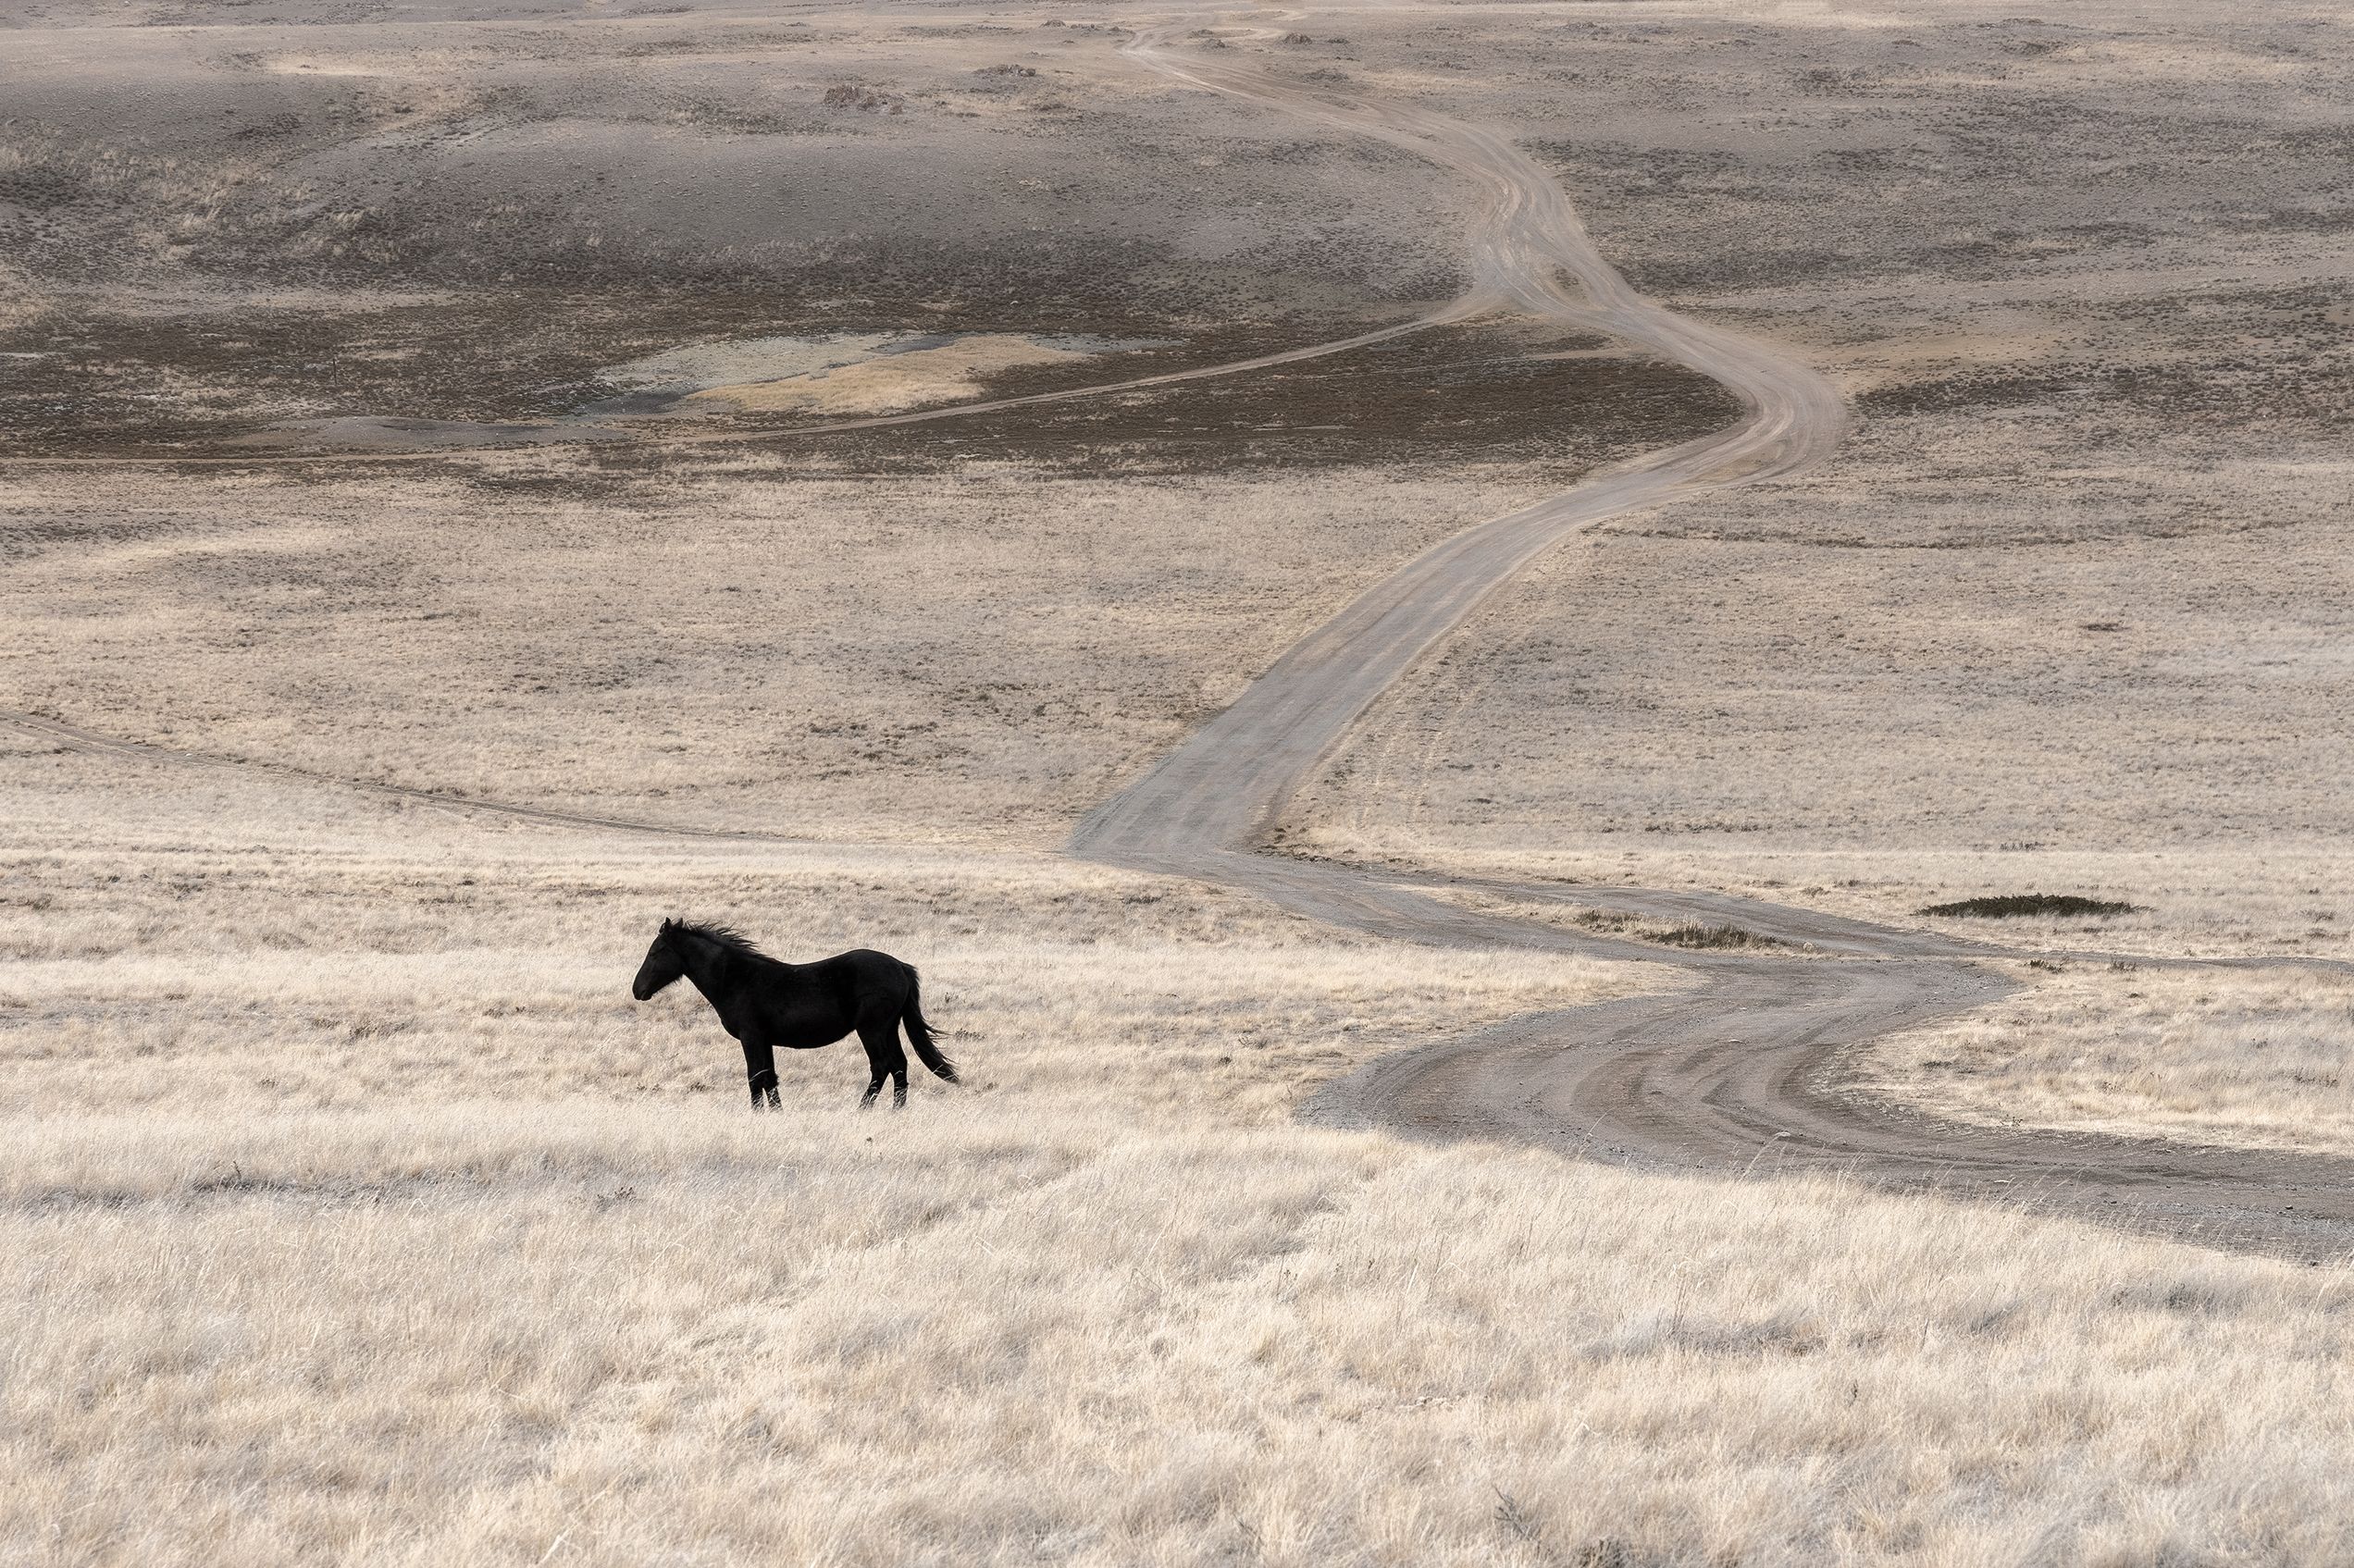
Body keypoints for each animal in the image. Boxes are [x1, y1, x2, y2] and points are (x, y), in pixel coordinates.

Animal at [635, 922, 955, 1106]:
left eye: (655, 951)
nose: (637, 990)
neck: (736, 978)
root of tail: (900, 966)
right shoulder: (764, 1040)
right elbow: (769, 1078)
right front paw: (777, 1113)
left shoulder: (751, 1037)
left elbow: (755, 1078)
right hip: (888, 1028)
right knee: (899, 1066)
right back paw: (896, 1110)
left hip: (872, 1030)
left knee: (882, 1066)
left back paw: (862, 1109)